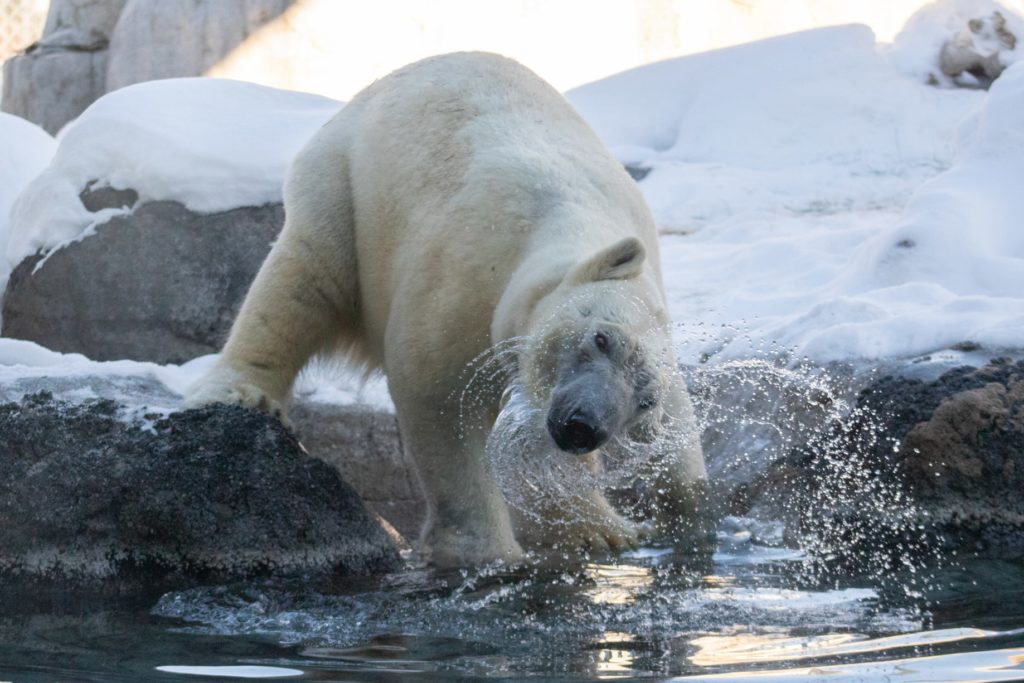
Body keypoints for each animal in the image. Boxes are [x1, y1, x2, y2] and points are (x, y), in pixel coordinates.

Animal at [188, 52, 708, 565]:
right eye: (601, 338)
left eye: (644, 401)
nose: (584, 427)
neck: (568, 217)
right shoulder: (471, 270)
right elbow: (439, 395)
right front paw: (489, 553)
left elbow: (671, 427)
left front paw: (618, 527)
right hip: (343, 180)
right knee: (304, 279)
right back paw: (242, 392)